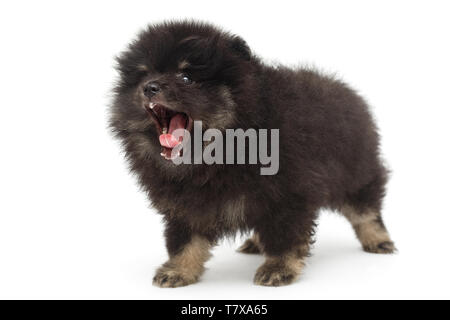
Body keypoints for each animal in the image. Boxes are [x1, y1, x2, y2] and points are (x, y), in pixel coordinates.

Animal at [109, 20, 394, 288]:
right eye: (144, 75)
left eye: (186, 77)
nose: (149, 87)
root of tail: (350, 94)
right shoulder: (184, 204)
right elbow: (183, 240)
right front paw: (178, 269)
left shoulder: (289, 194)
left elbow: (285, 237)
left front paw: (278, 268)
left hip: (356, 172)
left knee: (366, 209)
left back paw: (378, 240)